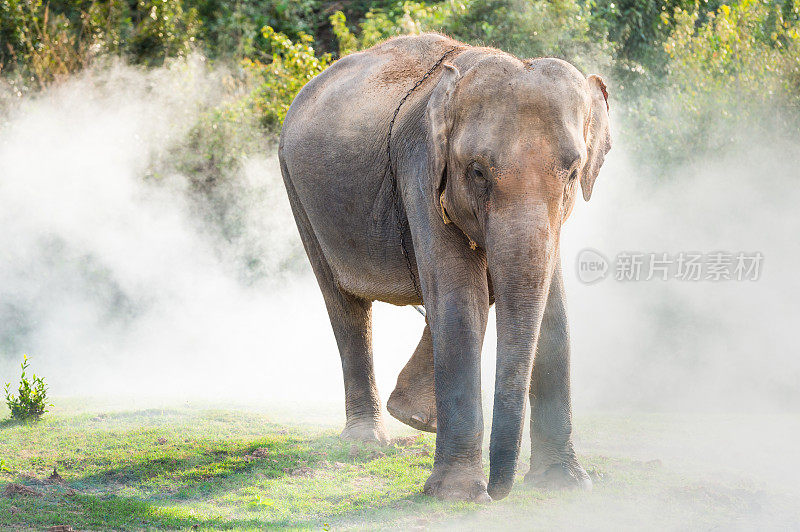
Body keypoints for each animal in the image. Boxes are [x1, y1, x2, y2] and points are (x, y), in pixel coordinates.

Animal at [278, 32, 608, 502]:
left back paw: (412, 418)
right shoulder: (420, 168)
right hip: (299, 192)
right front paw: (457, 495)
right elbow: (462, 303)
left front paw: (564, 484)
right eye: (477, 171)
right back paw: (368, 440)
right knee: (345, 307)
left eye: (574, 172)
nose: (498, 491)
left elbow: (552, 311)